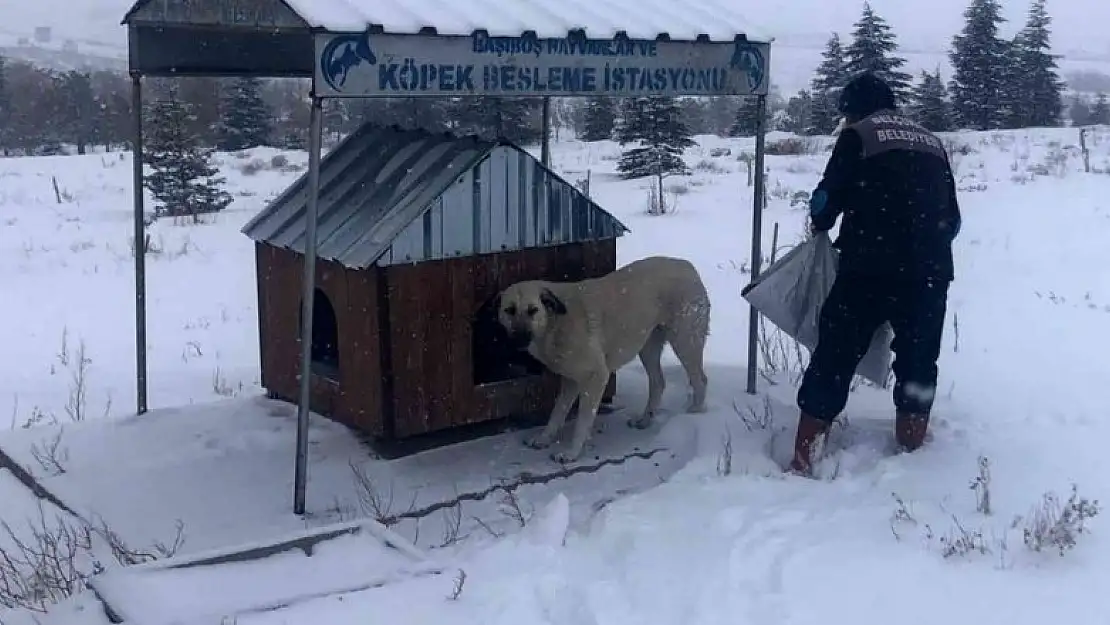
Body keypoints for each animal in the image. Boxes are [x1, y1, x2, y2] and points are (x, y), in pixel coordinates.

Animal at [497, 255, 710, 464]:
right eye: (509, 310)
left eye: (533, 310)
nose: (518, 338)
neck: (555, 323)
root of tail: (686, 265)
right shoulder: (571, 381)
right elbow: (557, 412)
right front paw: (544, 438)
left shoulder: (596, 377)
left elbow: (582, 421)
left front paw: (571, 453)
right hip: (647, 346)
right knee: (658, 382)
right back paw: (645, 419)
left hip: (684, 342)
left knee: (700, 379)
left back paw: (695, 413)